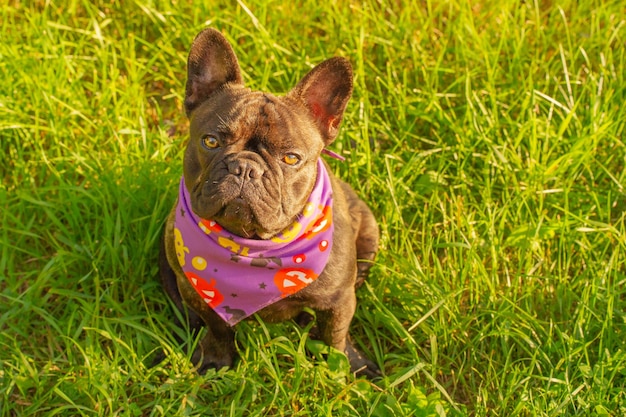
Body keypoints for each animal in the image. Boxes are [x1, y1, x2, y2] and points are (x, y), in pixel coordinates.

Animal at [158, 26, 378, 376]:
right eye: (210, 141)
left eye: (291, 158)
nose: (245, 168)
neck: (253, 248)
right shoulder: (196, 294)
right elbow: (217, 328)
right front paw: (216, 361)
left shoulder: (339, 300)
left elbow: (335, 337)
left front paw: (344, 368)